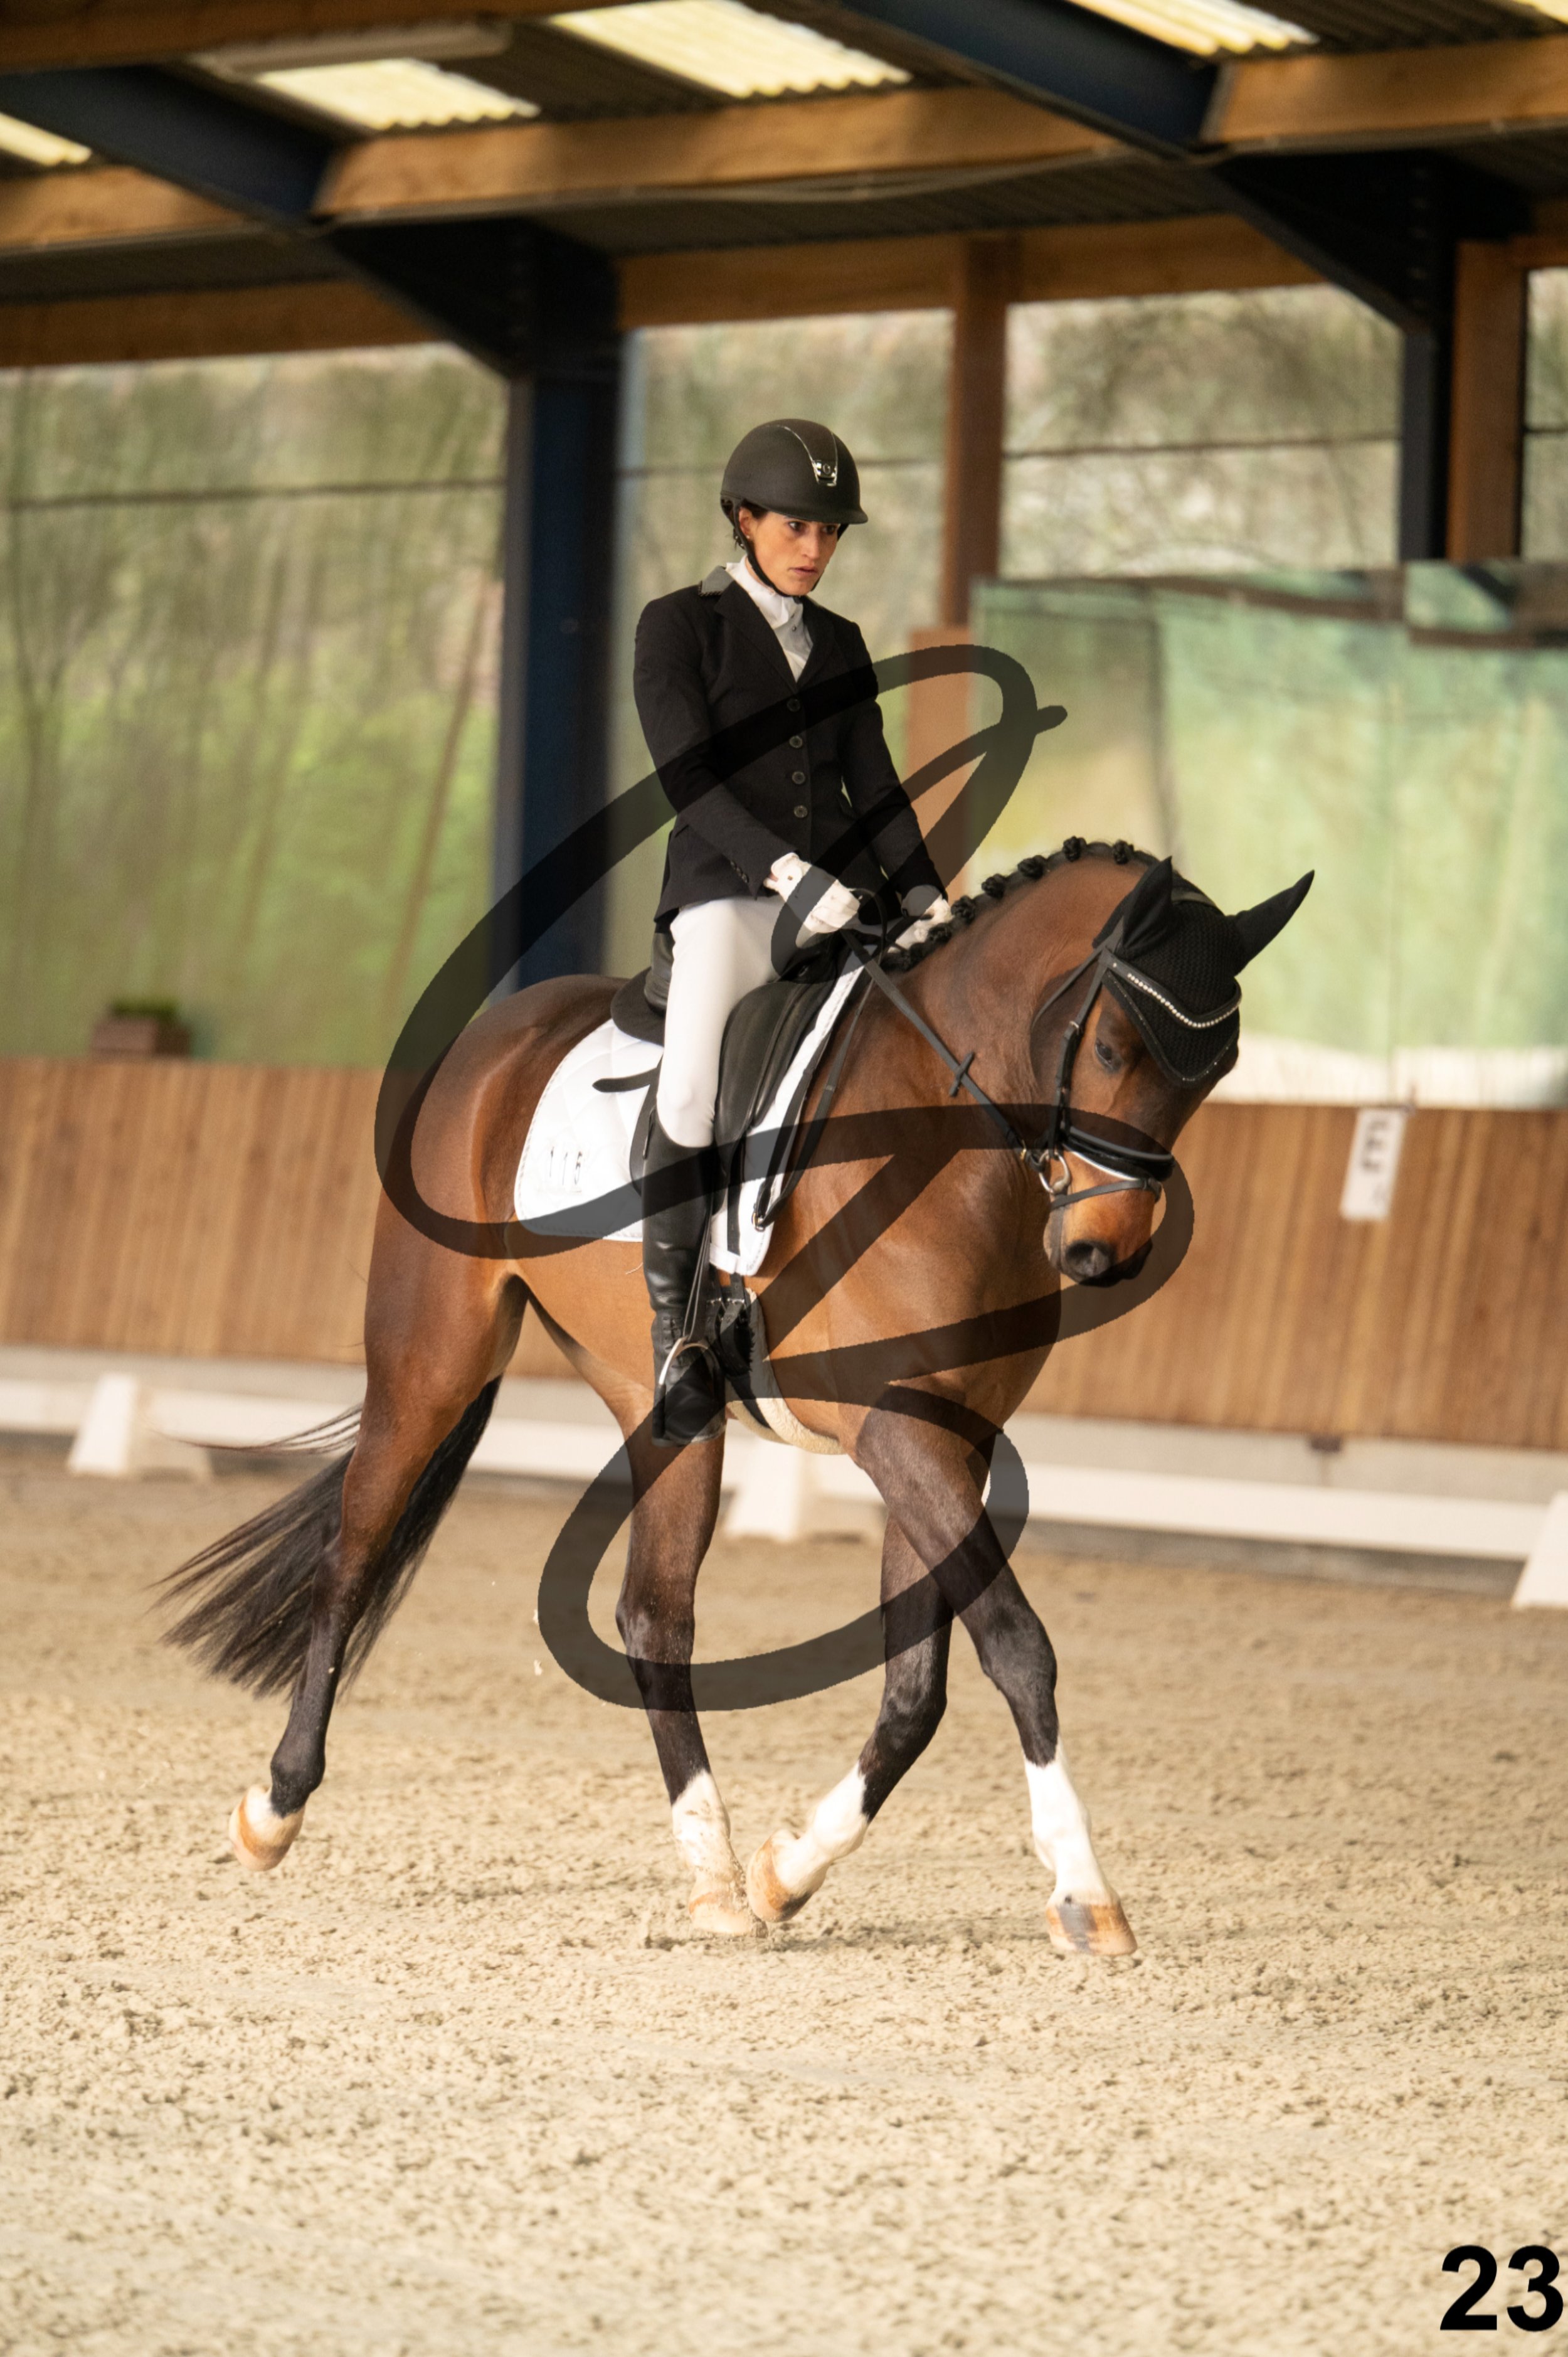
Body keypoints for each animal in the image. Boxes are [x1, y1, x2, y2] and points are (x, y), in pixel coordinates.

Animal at [163, 840, 1310, 1954]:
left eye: (1216, 1072)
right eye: (1112, 1048)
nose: (1103, 1254)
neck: (944, 1139)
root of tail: (498, 1035)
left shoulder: (952, 1436)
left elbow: (916, 1686)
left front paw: (787, 1872)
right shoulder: (898, 1430)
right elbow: (1018, 1646)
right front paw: (1085, 1894)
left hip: (660, 1406)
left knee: (653, 1613)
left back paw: (715, 1877)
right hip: (430, 1358)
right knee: (354, 1552)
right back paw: (274, 1809)